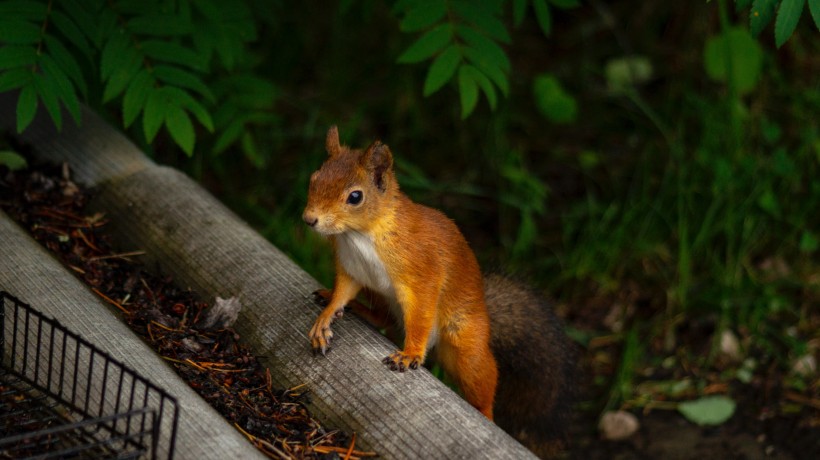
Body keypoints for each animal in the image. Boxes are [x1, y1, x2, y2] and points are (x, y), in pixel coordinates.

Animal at [302, 125, 576, 456]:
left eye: (355, 196)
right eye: (314, 178)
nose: (309, 219)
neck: (361, 235)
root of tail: (484, 310)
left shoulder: (423, 274)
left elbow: (420, 315)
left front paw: (410, 354)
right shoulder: (353, 270)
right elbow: (343, 291)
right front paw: (326, 317)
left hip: (464, 342)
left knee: (478, 375)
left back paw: (484, 412)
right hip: (379, 295)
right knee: (384, 318)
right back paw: (353, 307)